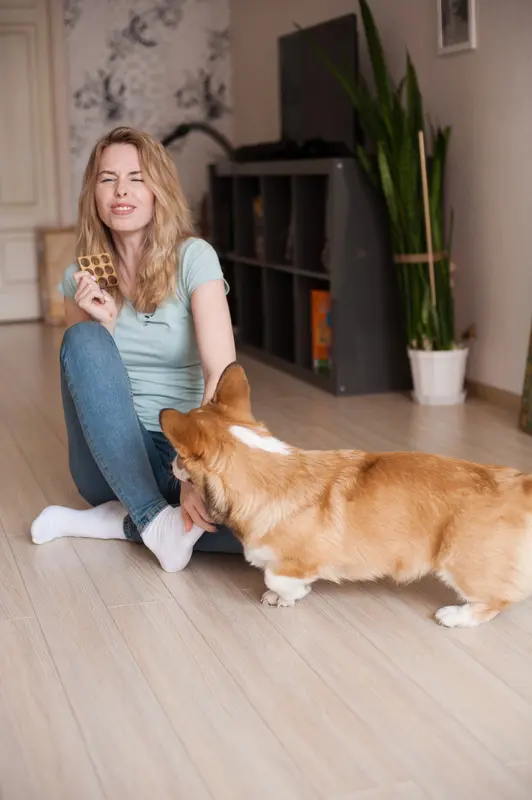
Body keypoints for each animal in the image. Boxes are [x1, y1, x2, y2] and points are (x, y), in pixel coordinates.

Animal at [159, 360, 532, 628]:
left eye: (179, 454)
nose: (169, 464)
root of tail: (519, 483)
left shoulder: (296, 561)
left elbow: (275, 577)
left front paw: (286, 595)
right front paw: (288, 598)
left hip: (461, 564)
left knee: (497, 599)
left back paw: (456, 616)